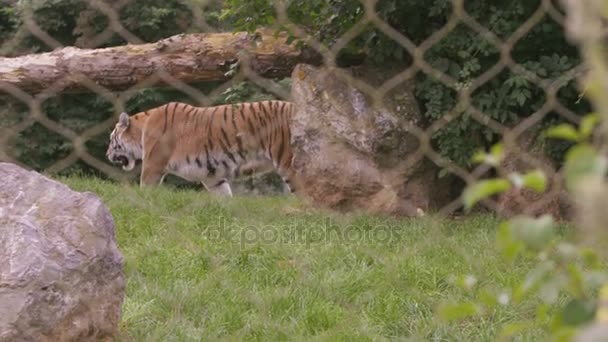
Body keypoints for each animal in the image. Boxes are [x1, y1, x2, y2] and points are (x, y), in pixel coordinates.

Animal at [107, 99, 302, 195]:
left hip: (288, 161)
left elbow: (145, 188)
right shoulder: (212, 176)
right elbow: (223, 195)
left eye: (111, 139)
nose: (107, 154)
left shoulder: (153, 165)